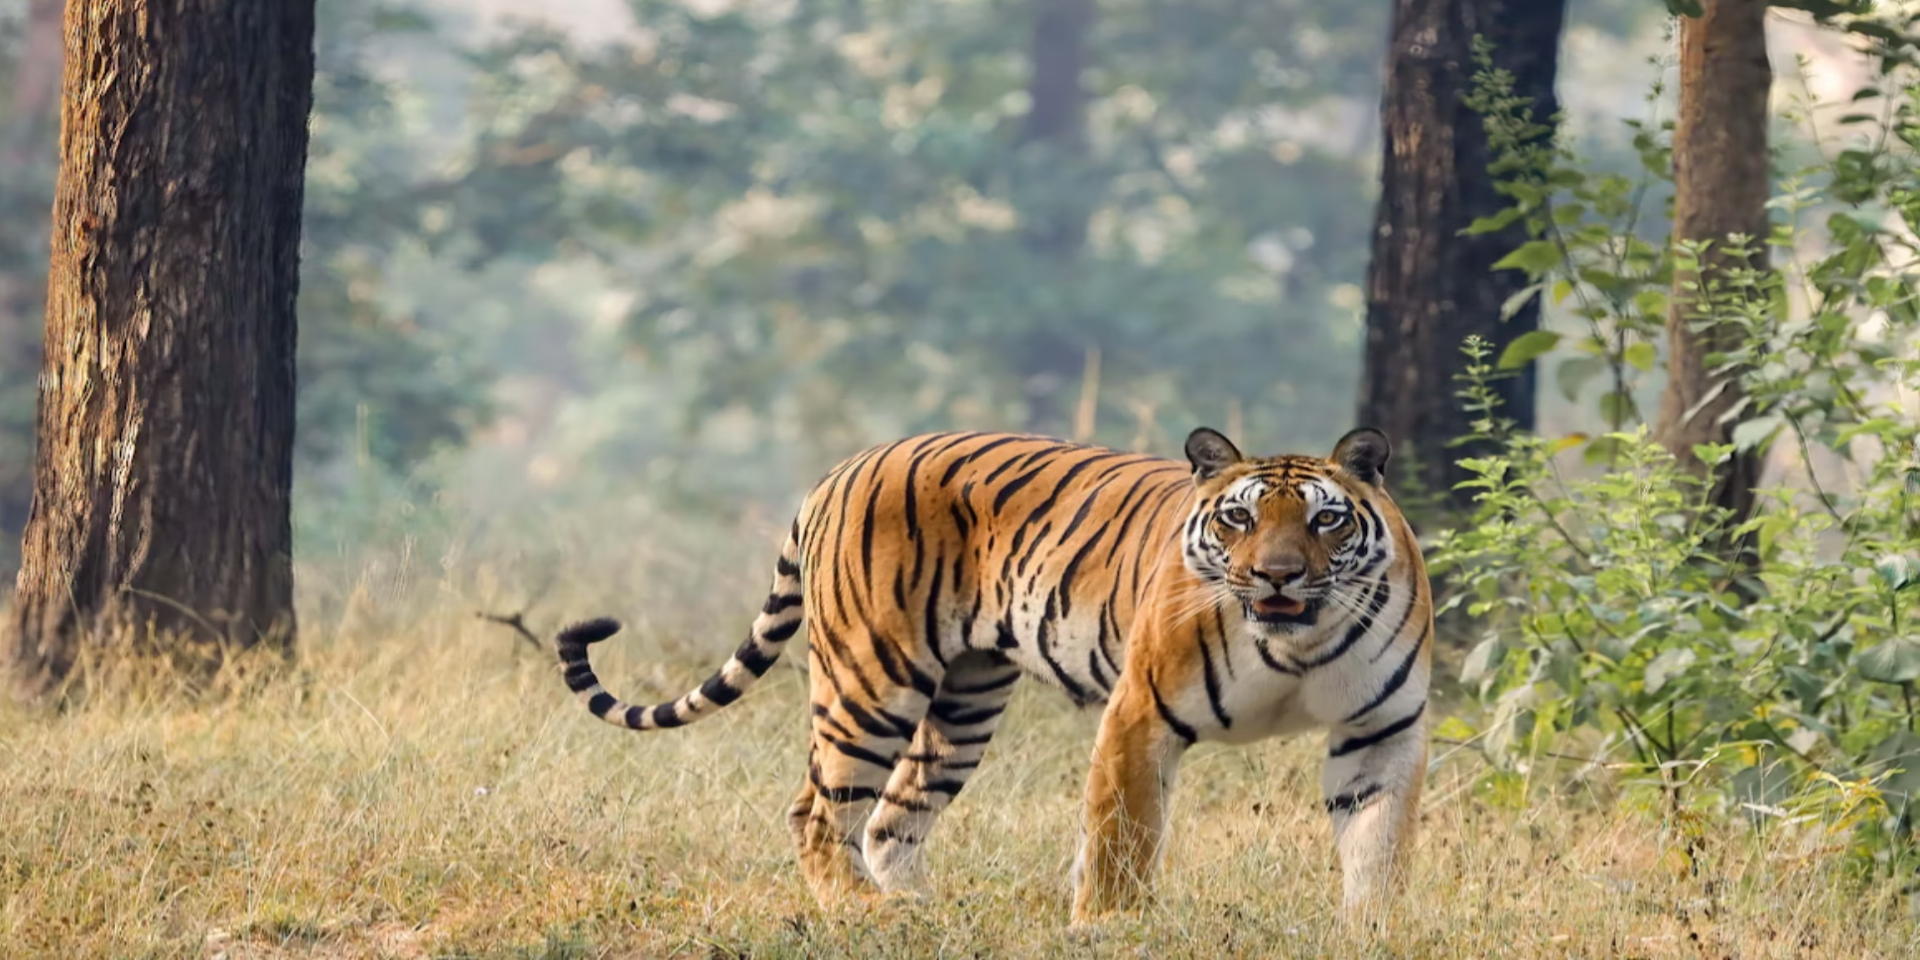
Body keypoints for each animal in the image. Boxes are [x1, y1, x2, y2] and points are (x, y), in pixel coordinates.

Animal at [552, 427, 1432, 923]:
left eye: (1326, 519)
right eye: (1238, 517)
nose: (1278, 576)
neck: (1297, 641)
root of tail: (843, 466)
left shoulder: (1381, 731)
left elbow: (1378, 849)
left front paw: (1369, 935)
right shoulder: (1140, 714)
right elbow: (1122, 842)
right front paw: (1111, 931)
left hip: (965, 698)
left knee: (890, 816)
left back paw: (919, 911)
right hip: (871, 678)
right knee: (817, 810)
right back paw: (864, 916)